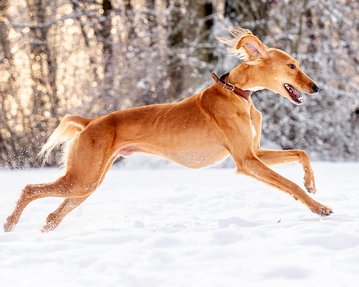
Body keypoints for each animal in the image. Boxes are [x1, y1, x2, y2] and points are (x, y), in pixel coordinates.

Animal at [4, 28, 334, 233]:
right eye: (292, 66)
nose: (316, 88)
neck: (237, 93)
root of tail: (90, 123)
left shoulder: (254, 152)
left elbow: (301, 153)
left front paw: (311, 183)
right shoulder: (246, 161)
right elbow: (288, 185)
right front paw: (319, 207)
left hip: (88, 183)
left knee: (52, 214)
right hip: (82, 178)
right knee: (30, 188)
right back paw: (10, 223)